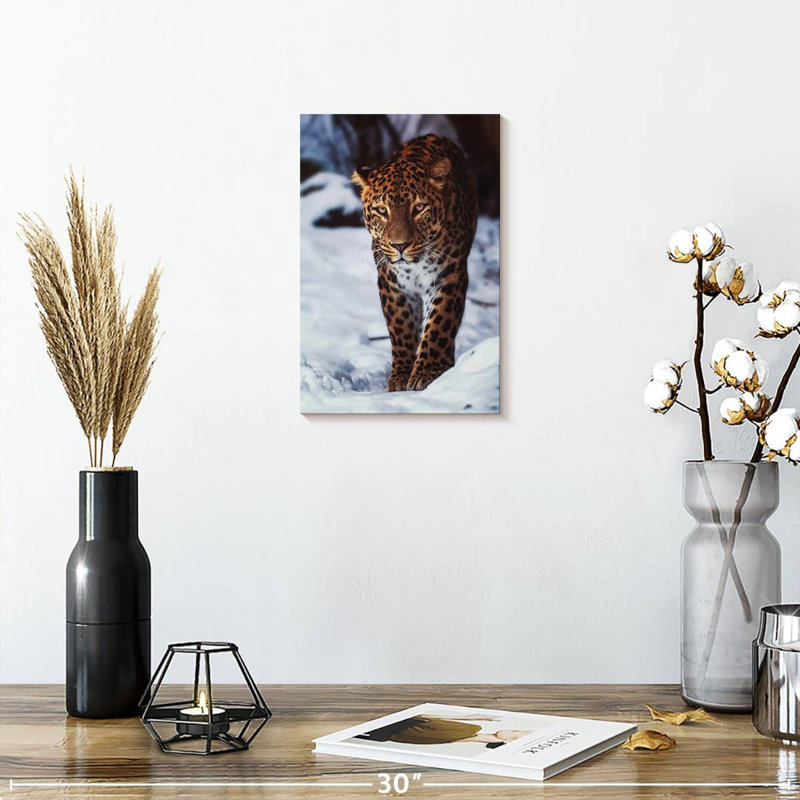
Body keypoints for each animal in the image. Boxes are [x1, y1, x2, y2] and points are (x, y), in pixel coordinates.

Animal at [352, 134, 478, 392]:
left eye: (418, 208)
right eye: (382, 210)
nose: (400, 245)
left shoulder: (449, 275)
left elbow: (440, 322)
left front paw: (429, 371)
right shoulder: (391, 281)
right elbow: (401, 327)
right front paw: (401, 376)